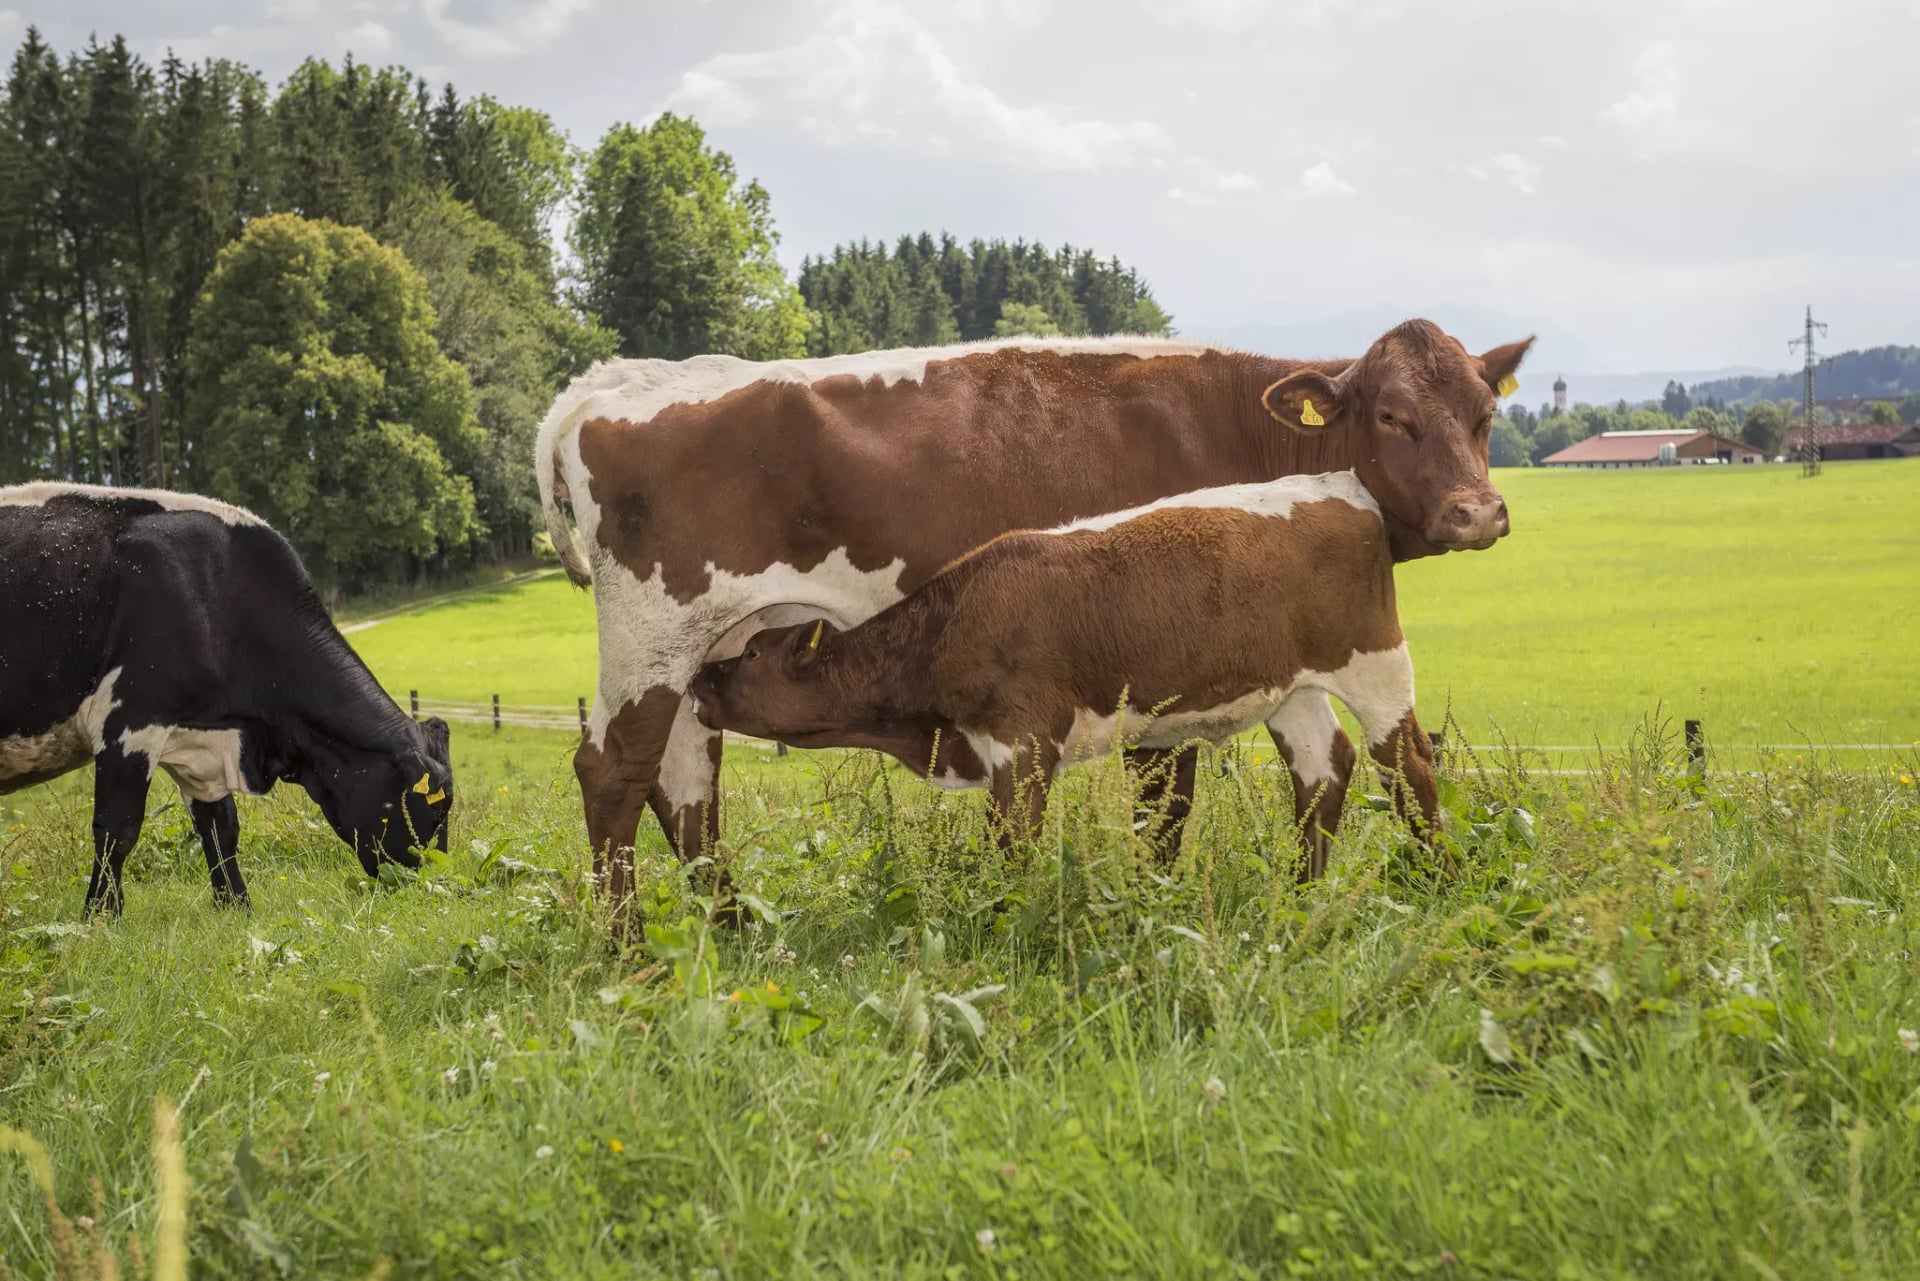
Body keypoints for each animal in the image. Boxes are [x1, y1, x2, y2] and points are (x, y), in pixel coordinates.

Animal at [0, 483, 455, 915]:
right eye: (436, 809)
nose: (432, 883)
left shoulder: (202, 743)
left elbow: (220, 828)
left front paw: (236, 906)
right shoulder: (129, 723)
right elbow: (118, 828)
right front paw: (99, 916)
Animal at [688, 471, 1440, 877]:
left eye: (752, 654)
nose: (700, 676)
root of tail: (1336, 484)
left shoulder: (1021, 741)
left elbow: (1012, 846)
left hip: (1375, 664)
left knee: (1408, 764)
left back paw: (1438, 878)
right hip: (1292, 688)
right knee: (1324, 769)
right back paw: (1301, 891)